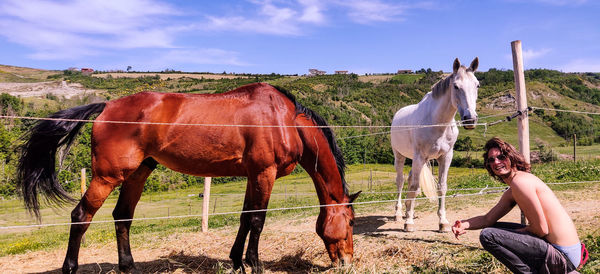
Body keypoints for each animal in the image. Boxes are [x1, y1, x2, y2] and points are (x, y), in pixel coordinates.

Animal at [16, 83, 358, 274]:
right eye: (352, 222)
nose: (347, 261)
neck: (283, 120)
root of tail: (107, 106)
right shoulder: (264, 173)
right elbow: (258, 220)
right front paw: (256, 264)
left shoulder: (251, 175)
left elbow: (244, 218)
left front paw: (236, 262)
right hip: (107, 176)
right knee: (81, 216)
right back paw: (70, 267)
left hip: (138, 173)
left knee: (122, 216)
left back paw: (129, 267)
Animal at [392, 57, 480, 231]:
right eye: (456, 86)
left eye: (477, 85)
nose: (470, 119)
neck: (437, 122)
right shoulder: (419, 157)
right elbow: (414, 187)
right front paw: (409, 223)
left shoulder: (445, 157)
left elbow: (442, 187)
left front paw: (443, 222)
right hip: (400, 156)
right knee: (400, 182)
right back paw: (399, 214)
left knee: (410, 180)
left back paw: (408, 211)